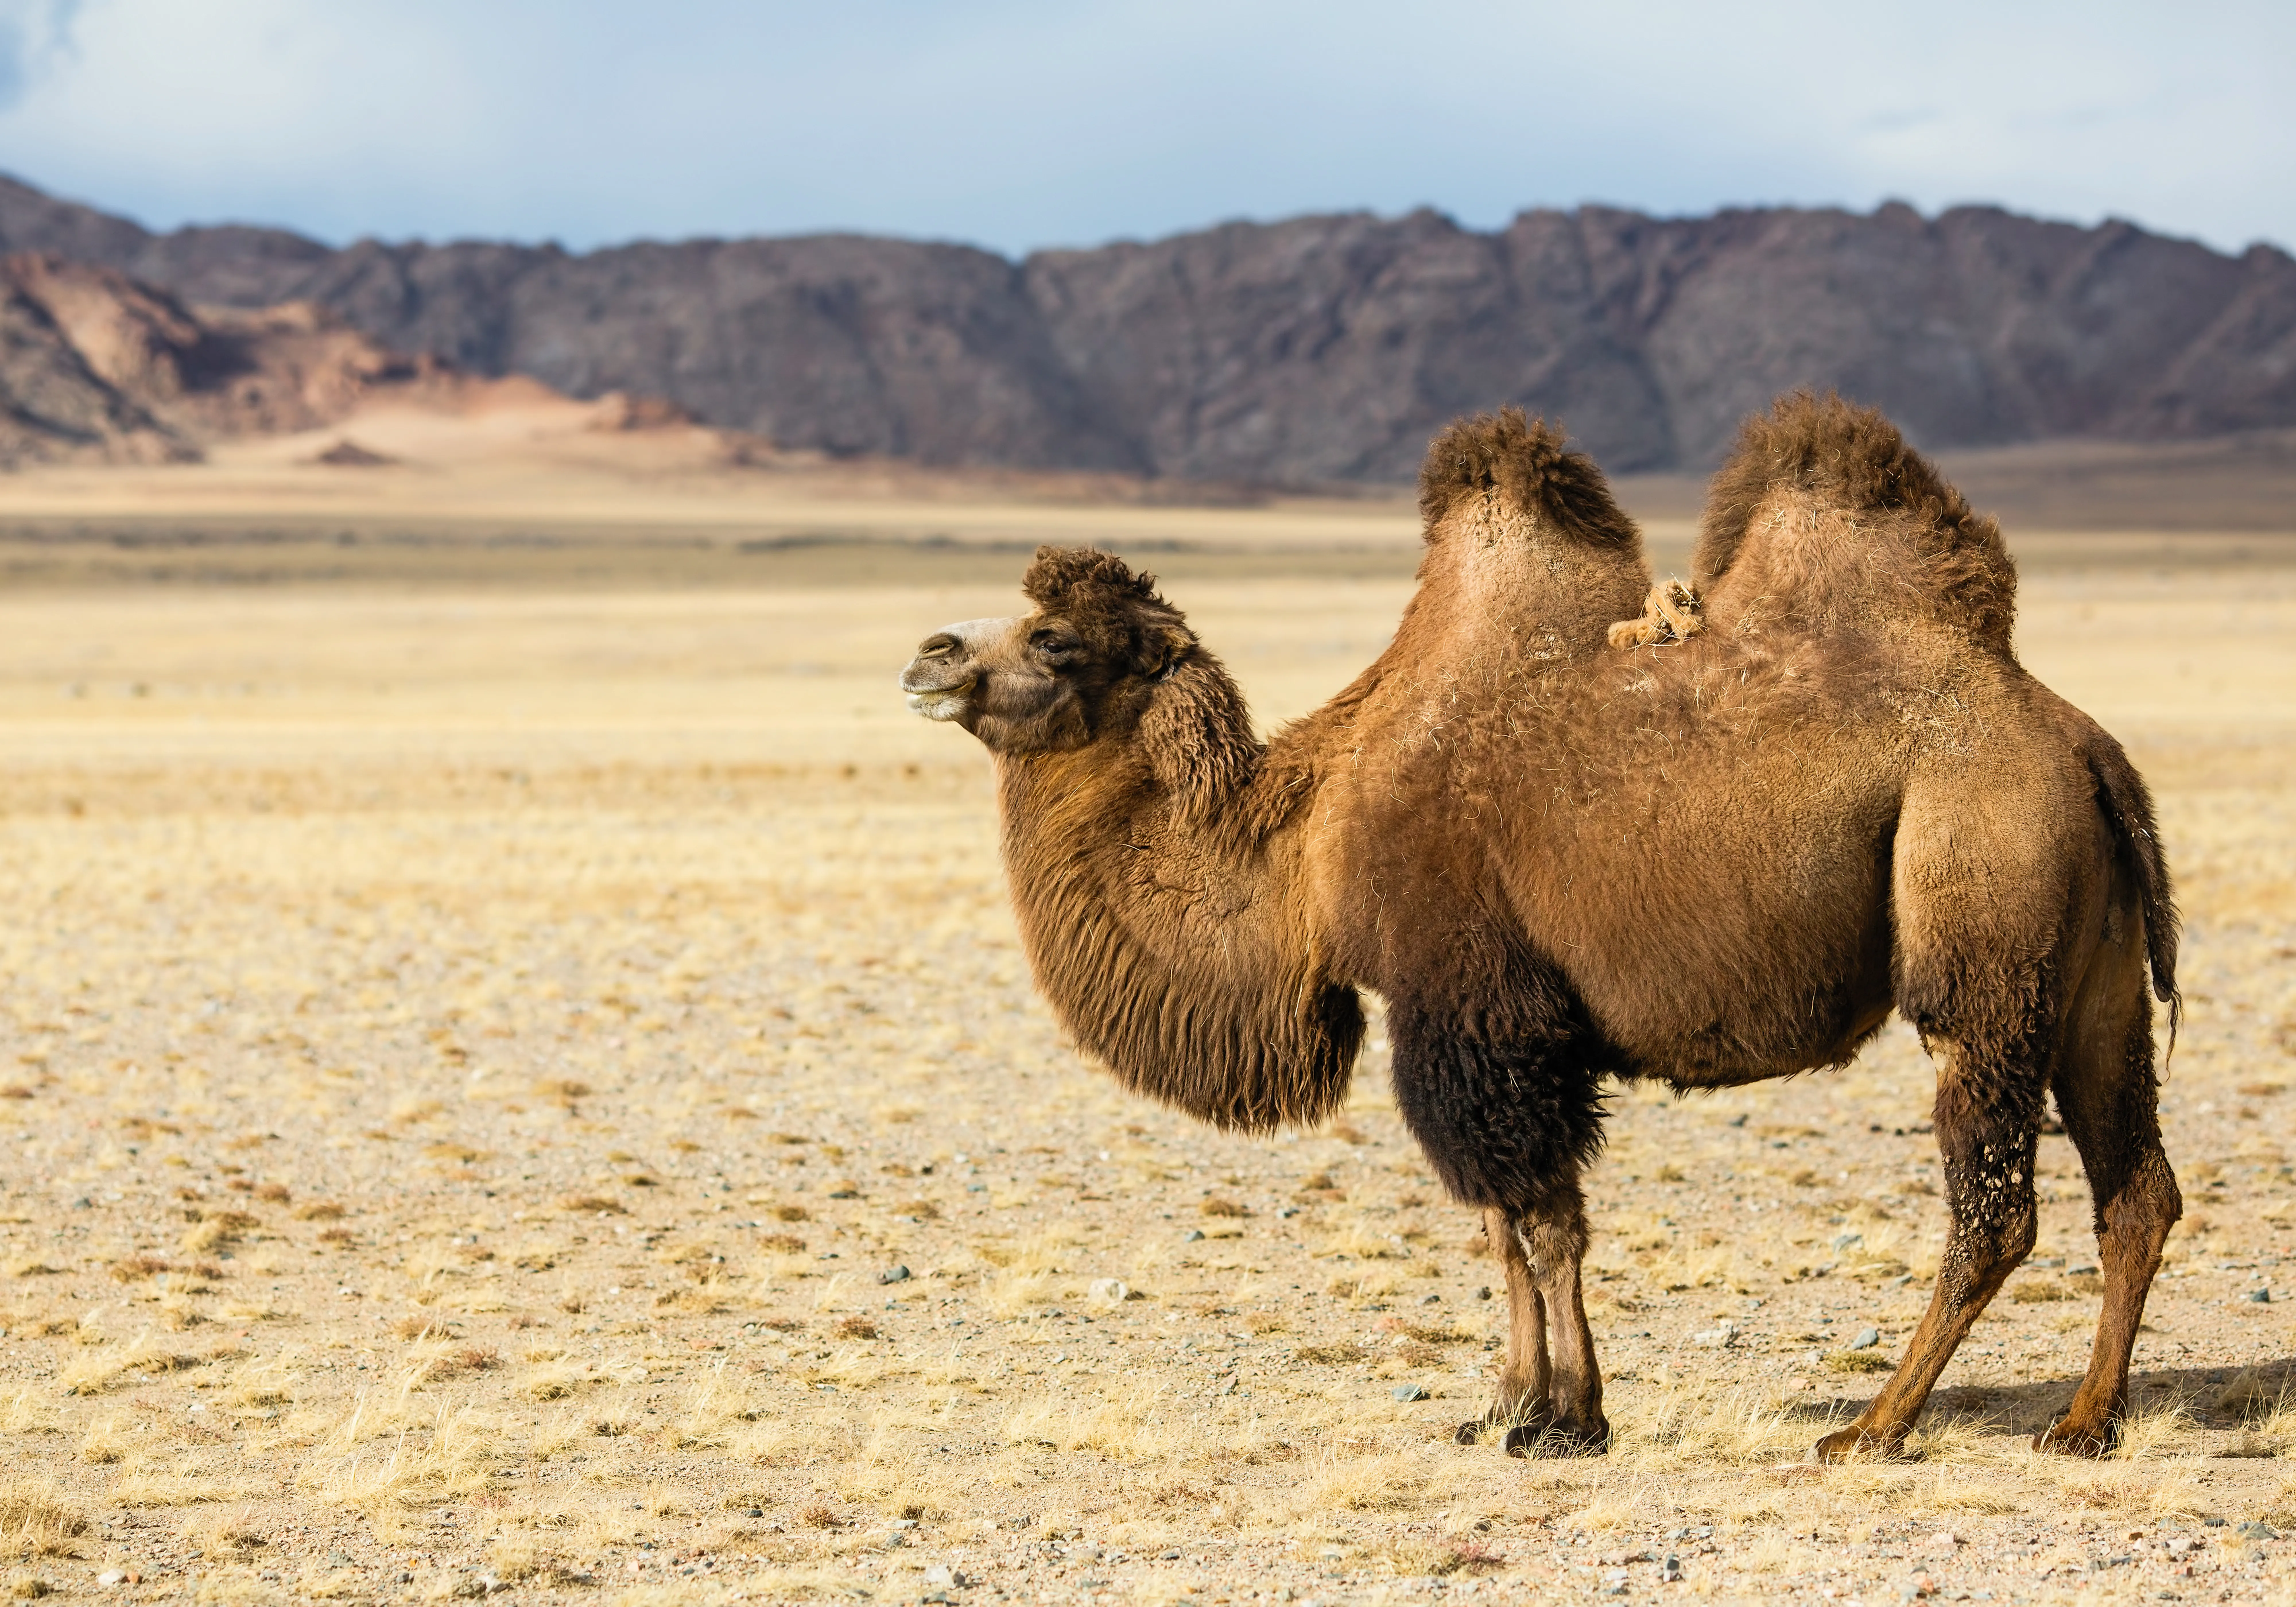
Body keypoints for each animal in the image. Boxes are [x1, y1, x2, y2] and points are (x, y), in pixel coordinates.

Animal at [898, 393, 2180, 1461]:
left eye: (1055, 639)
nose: (928, 653)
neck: (1305, 840)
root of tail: (2080, 744)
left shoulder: (1477, 1011)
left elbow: (1539, 1218)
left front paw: (1562, 1418)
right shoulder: (1478, 1026)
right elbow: (1498, 1226)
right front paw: (1508, 1403)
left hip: (1984, 918)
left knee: (1995, 1204)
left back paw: (1873, 1426)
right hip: (2093, 980)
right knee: (2137, 1191)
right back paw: (2082, 1421)